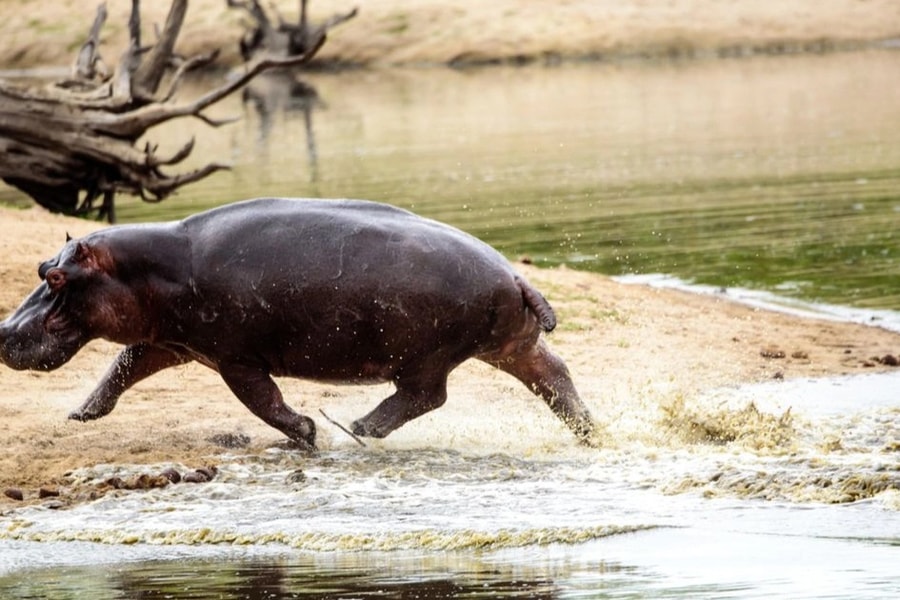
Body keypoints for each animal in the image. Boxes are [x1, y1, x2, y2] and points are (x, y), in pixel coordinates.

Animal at [0, 198, 596, 450]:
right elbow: (122, 367)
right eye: (40, 267)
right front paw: (81, 415)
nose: (3, 331)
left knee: (427, 397)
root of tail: (515, 275)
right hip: (511, 345)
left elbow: (263, 402)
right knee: (555, 376)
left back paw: (358, 428)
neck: (147, 269)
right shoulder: (169, 343)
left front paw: (307, 432)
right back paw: (591, 434)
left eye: (57, 277)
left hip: (426, 358)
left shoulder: (233, 358)